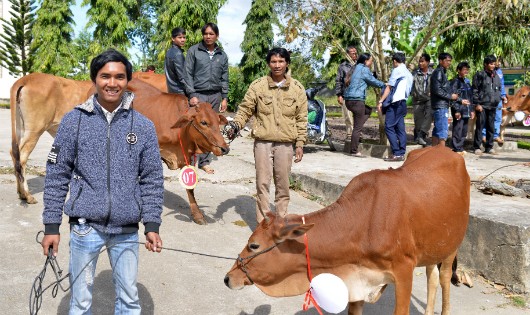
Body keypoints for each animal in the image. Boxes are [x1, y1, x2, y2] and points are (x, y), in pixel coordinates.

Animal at [9, 73, 226, 225]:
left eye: (218, 122)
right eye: (204, 122)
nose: (224, 148)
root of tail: (26, 78)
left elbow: (190, 188)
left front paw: (197, 214)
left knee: (15, 154)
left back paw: (21, 193)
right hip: (35, 129)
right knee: (22, 158)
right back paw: (27, 195)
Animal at [223, 146, 466, 315]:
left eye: (254, 245)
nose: (228, 278)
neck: (364, 223)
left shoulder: (404, 271)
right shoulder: (357, 280)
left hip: (451, 247)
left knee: (444, 278)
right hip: (433, 248)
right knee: (432, 276)